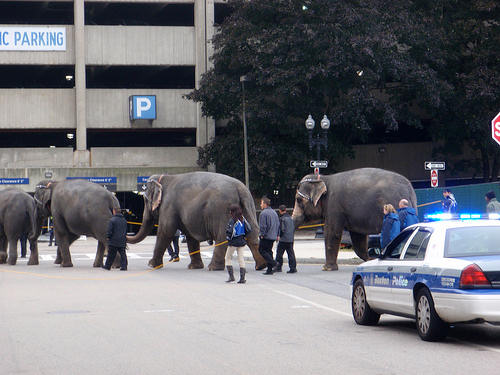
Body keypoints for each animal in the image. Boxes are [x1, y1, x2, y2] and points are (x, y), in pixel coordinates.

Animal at [127, 172, 268, 272]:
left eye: (145, 200)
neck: (164, 177)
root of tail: (240, 188)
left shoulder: (168, 206)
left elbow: (166, 231)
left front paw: (151, 265)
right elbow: (191, 237)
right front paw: (194, 267)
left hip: (222, 210)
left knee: (222, 236)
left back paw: (213, 268)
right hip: (248, 206)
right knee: (252, 235)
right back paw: (261, 266)